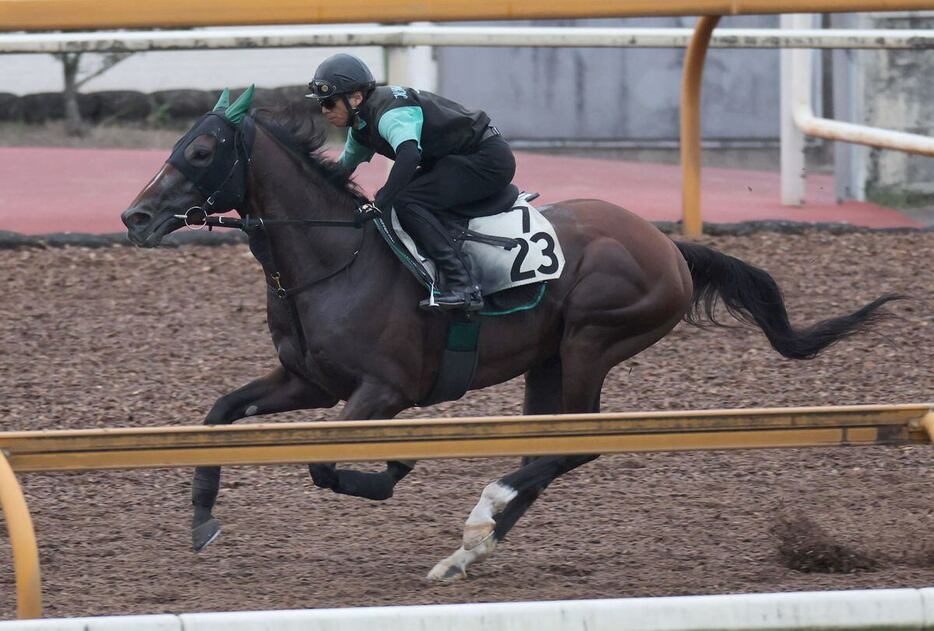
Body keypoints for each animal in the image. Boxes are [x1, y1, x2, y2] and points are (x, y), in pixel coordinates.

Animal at [122, 89, 900, 584]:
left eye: (203, 151)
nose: (135, 217)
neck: (333, 258)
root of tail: (668, 245)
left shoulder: (384, 391)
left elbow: (322, 463)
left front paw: (395, 468)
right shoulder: (306, 380)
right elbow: (219, 412)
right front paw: (202, 519)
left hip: (593, 338)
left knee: (575, 444)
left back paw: (482, 512)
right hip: (547, 359)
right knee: (547, 449)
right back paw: (469, 549)